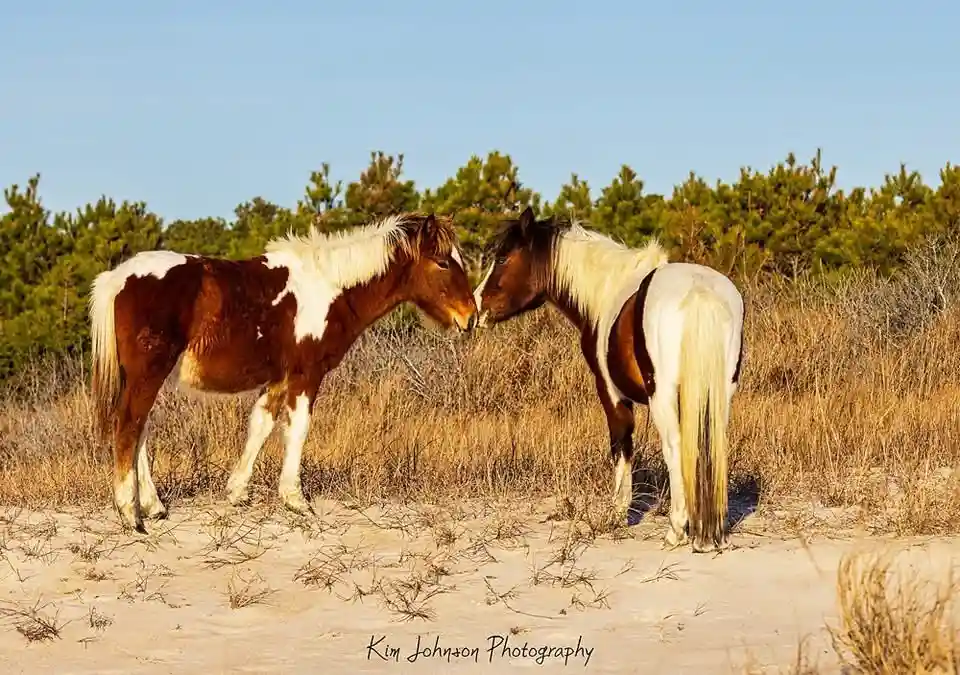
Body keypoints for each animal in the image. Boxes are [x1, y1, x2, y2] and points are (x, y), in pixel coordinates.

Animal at [88, 212, 478, 533]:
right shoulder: (307, 374)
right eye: (443, 262)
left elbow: (260, 426)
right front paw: (295, 499)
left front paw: (237, 491)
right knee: (129, 426)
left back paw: (153, 506)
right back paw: (131, 514)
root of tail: (117, 277)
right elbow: (298, 428)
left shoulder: (278, 378)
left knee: (139, 430)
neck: (331, 288)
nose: (470, 317)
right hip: (148, 374)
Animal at [473, 207, 744, 552]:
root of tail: (699, 291)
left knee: (674, 446)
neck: (607, 292)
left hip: (663, 398)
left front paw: (617, 512)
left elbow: (621, 445)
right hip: (720, 394)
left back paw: (675, 530)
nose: (477, 307)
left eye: (504, 258)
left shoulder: (611, 393)